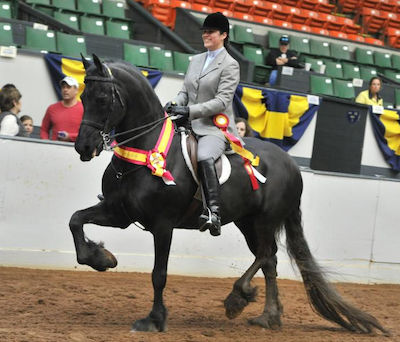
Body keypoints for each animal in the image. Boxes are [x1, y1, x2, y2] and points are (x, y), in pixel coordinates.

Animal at [71, 54, 388, 336]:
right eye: (83, 98)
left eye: (102, 99)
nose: (83, 147)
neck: (144, 148)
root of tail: (292, 164)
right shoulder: (118, 212)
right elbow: (75, 220)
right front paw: (101, 258)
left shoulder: (163, 225)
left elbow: (158, 274)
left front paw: (154, 319)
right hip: (247, 222)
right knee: (269, 261)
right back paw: (268, 316)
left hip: (264, 221)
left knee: (266, 254)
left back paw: (239, 297)